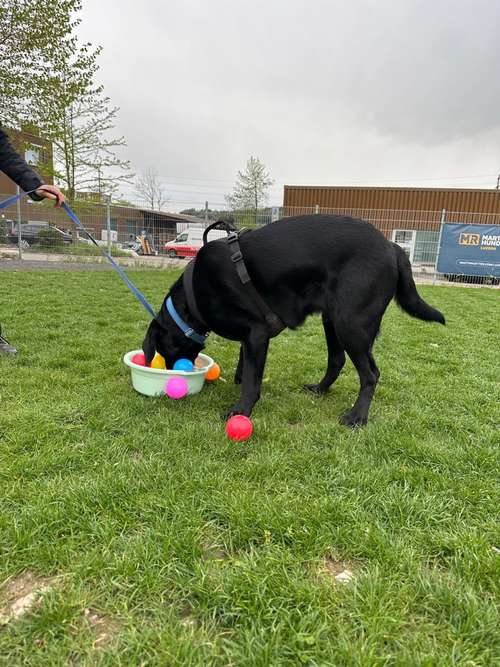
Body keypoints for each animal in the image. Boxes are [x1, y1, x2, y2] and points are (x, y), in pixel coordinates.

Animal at [143, 215, 444, 428]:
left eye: (163, 350)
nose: (171, 375)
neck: (192, 296)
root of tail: (392, 247)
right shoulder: (250, 337)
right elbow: (245, 363)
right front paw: (239, 381)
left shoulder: (257, 332)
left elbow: (252, 379)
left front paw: (241, 410)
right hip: (332, 320)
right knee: (337, 361)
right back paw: (320, 389)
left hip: (351, 324)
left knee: (370, 374)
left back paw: (357, 416)